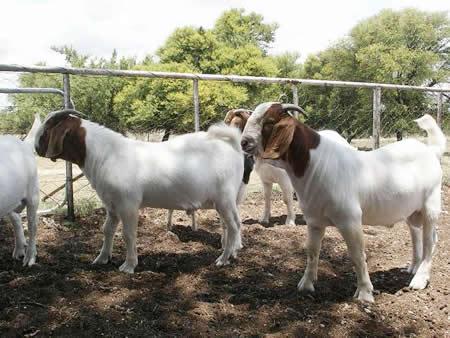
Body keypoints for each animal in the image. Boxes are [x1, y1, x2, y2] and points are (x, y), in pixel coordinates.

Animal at [0, 115, 40, 266]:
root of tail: (24, 144)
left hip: (33, 192)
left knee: (32, 225)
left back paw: (30, 258)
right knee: (16, 218)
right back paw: (19, 251)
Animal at [34, 109, 246, 274]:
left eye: (47, 129)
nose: (35, 148)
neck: (106, 154)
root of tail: (231, 145)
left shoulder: (128, 204)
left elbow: (128, 234)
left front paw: (128, 266)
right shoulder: (111, 204)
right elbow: (107, 229)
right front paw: (101, 259)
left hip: (225, 199)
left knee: (234, 225)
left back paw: (223, 259)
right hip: (227, 200)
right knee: (232, 225)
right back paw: (233, 253)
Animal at [241, 101, 444, 302]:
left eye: (269, 121)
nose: (244, 142)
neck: (315, 164)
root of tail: (430, 150)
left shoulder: (350, 219)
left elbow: (357, 255)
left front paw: (364, 293)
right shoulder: (314, 221)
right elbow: (312, 251)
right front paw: (306, 284)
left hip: (431, 204)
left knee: (430, 240)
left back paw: (420, 279)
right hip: (412, 211)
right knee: (416, 234)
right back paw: (413, 268)